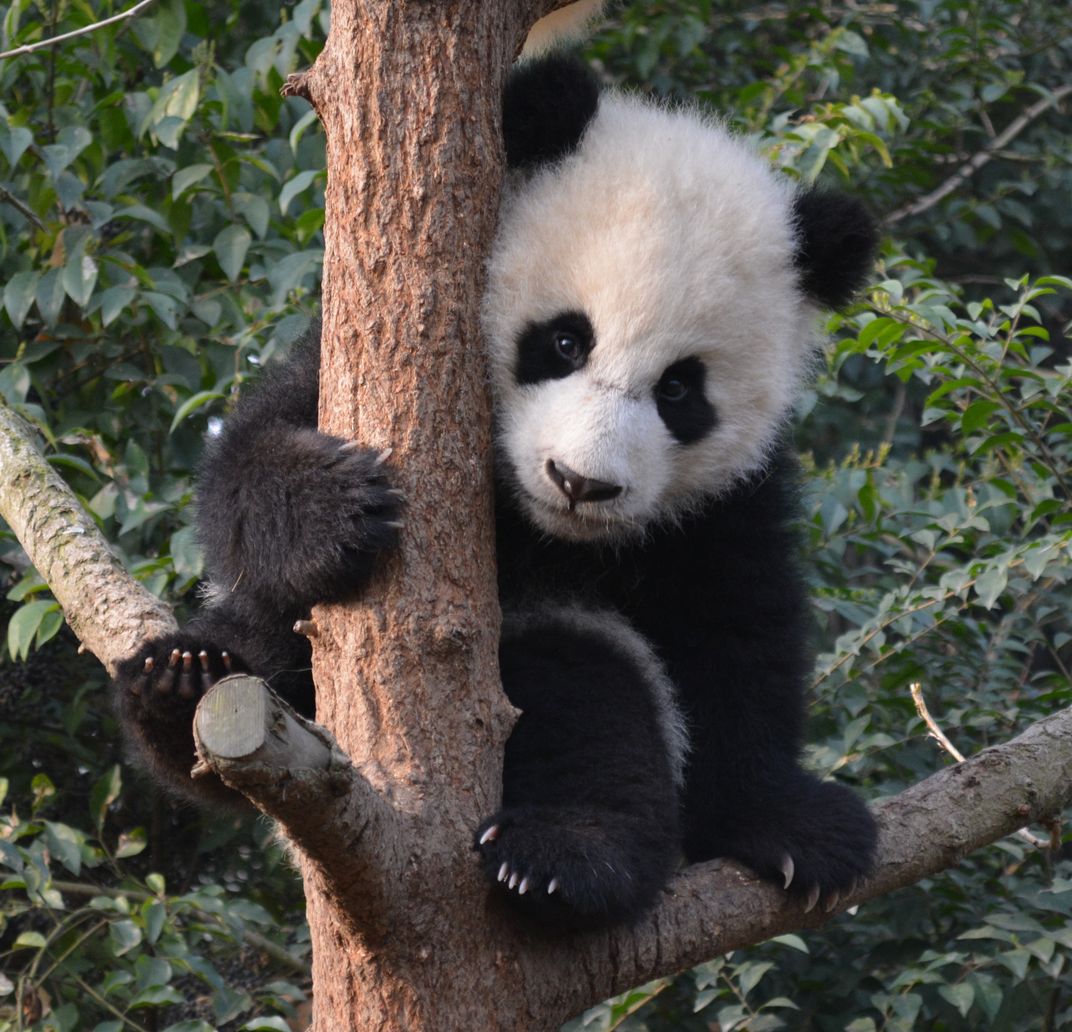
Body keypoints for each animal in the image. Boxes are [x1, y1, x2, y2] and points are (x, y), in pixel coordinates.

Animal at [115, 54, 878, 929]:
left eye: (680, 390)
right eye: (565, 341)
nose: (580, 482)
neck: (538, 527)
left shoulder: (724, 503)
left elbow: (735, 635)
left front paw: (792, 824)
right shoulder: (349, 367)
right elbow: (247, 459)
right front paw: (336, 513)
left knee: (586, 698)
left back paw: (565, 856)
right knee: (261, 646)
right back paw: (180, 684)